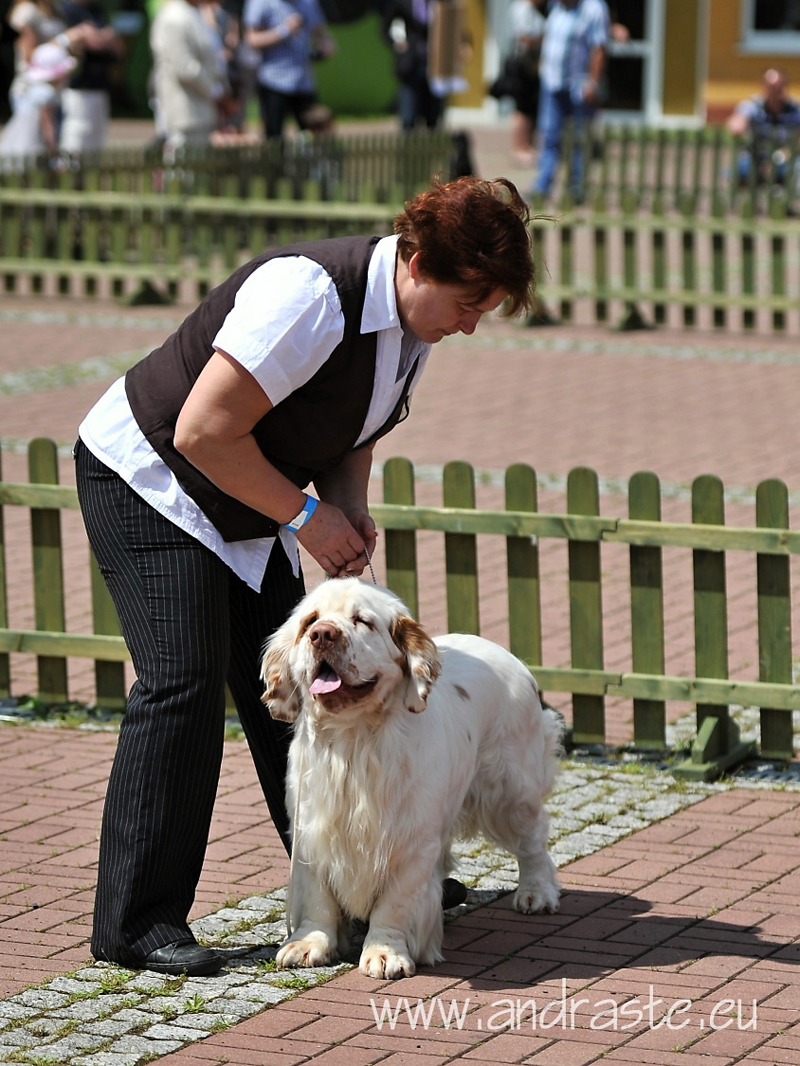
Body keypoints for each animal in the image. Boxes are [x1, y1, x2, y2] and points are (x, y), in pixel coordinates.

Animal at [260, 579, 558, 976]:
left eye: (362, 621)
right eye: (310, 620)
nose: (322, 634)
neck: (354, 739)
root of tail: (508, 655)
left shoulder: (409, 839)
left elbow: (395, 902)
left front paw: (385, 952)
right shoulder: (312, 830)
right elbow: (317, 899)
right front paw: (310, 943)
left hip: (509, 793)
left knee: (533, 842)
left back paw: (536, 893)